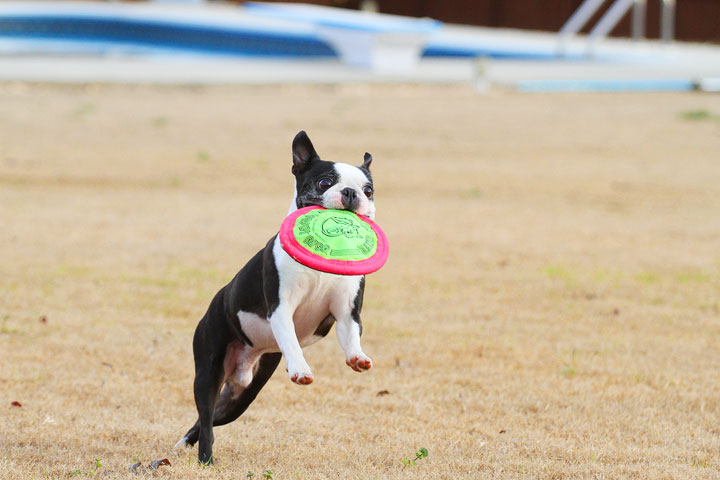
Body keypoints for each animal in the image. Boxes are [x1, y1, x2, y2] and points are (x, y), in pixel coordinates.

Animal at [176, 129, 376, 464]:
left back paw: (183, 445)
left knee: (211, 419)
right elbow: (292, 342)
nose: (351, 193)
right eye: (324, 183)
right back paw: (205, 458)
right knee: (205, 419)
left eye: (369, 190)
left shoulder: (347, 312)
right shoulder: (281, 310)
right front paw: (300, 370)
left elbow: (351, 336)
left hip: (243, 395)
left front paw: (358, 357)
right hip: (208, 370)